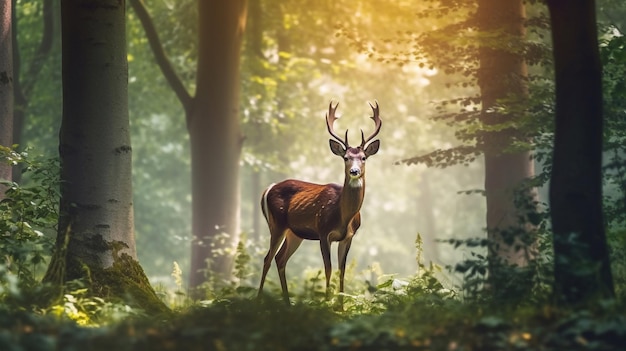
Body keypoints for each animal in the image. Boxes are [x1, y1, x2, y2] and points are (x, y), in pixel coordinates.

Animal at [258, 101, 380, 306]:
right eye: (346, 158)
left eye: (363, 158)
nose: (354, 171)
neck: (343, 216)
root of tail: (269, 188)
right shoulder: (323, 232)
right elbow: (328, 269)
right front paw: (326, 303)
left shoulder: (348, 236)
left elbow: (342, 271)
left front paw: (340, 307)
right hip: (277, 224)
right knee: (268, 257)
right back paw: (257, 300)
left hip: (294, 233)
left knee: (280, 258)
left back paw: (288, 304)